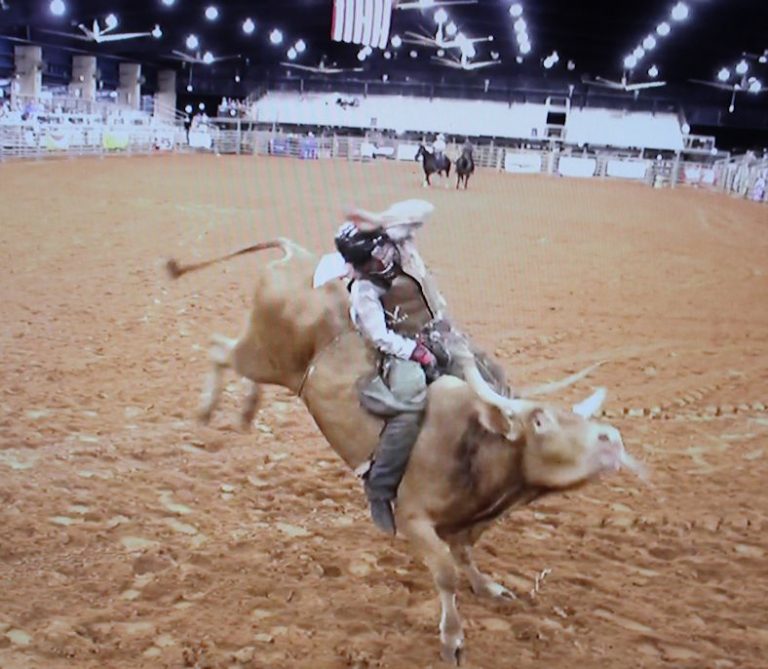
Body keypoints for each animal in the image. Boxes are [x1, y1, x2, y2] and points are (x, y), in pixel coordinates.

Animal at [165, 237, 644, 660]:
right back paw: (209, 410)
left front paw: (489, 587)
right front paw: (452, 641)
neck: (477, 445)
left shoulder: (471, 521)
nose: (611, 440)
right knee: (219, 349)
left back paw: (246, 410)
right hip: (261, 354)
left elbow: (466, 553)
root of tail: (295, 255)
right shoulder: (414, 518)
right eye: (540, 420)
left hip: (267, 360)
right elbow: (446, 573)